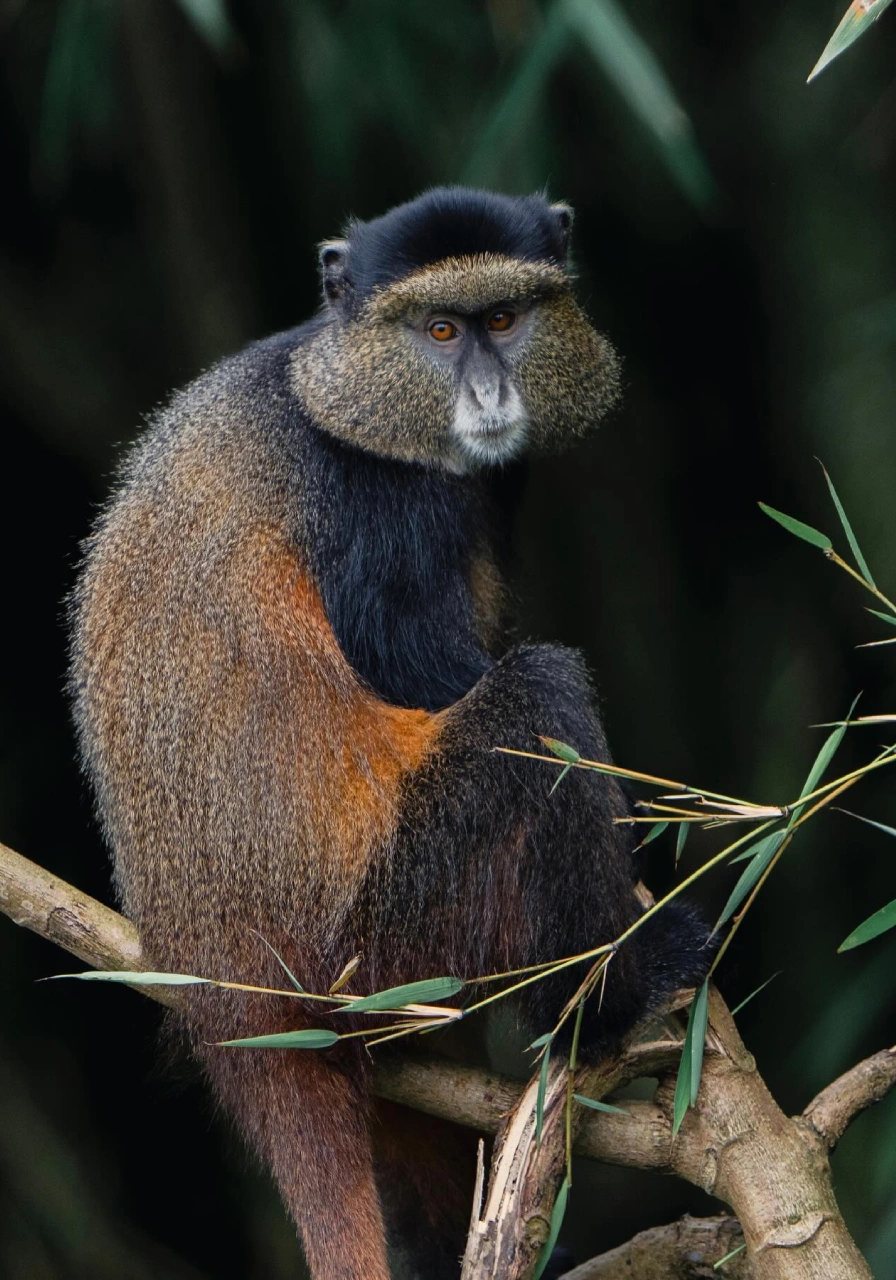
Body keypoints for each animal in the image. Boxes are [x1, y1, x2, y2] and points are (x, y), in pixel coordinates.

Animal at [70, 187, 711, 1280]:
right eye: (440, 330)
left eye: (504, 318)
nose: (490, 392)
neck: (329, 380)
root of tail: (232, 1000)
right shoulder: (378, 508)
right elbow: (436, 673)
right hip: (382, 934)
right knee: (540, 700)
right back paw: (601, 999)